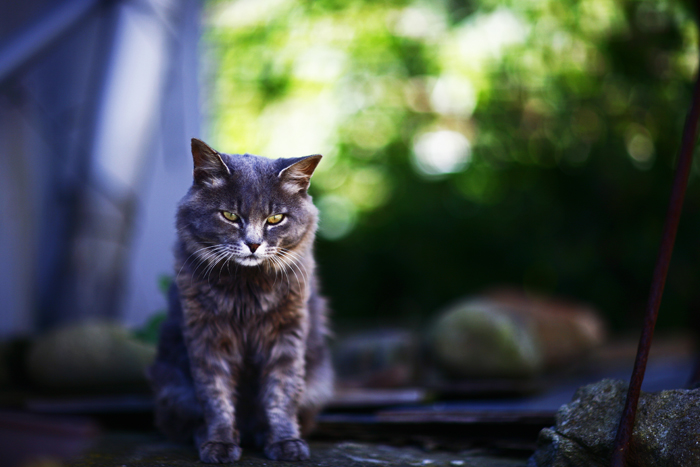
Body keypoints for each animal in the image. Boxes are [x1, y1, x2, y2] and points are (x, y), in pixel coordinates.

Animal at [147, 139, 334, 464]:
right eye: (230, 216)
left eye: (275, 219)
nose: (254, 244)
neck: (247, 289)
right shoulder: (207, 336)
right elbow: (215, 395)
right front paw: (219, 444)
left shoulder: (286, 332)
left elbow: (282, 391)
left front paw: (285, 442)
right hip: (172, 385)